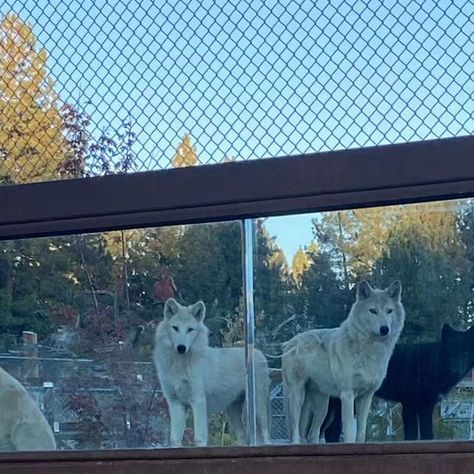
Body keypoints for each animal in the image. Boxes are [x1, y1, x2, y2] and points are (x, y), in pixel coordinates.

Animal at [154, 298, 268, 446]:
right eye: (175, 328)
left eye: (190, 330)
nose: (181, 348)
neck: (180, 365)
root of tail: (258, 353)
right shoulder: (176, 404)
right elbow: (174, 440)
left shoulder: (198, 401)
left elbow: (199, 438)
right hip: (233, 413)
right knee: (243, 438)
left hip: (258, 410)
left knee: (266, 436)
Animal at [282, 280, 404, 442]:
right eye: (373, 311)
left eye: (389, 311)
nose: (384, 329)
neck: (370, 351)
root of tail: (289, 343)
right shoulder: (347, 395)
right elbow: (349, 433)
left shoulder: (366, 397)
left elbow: (361, 434)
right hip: (298, 397)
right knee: (296, 433)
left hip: (321, 406)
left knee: (311, 433)